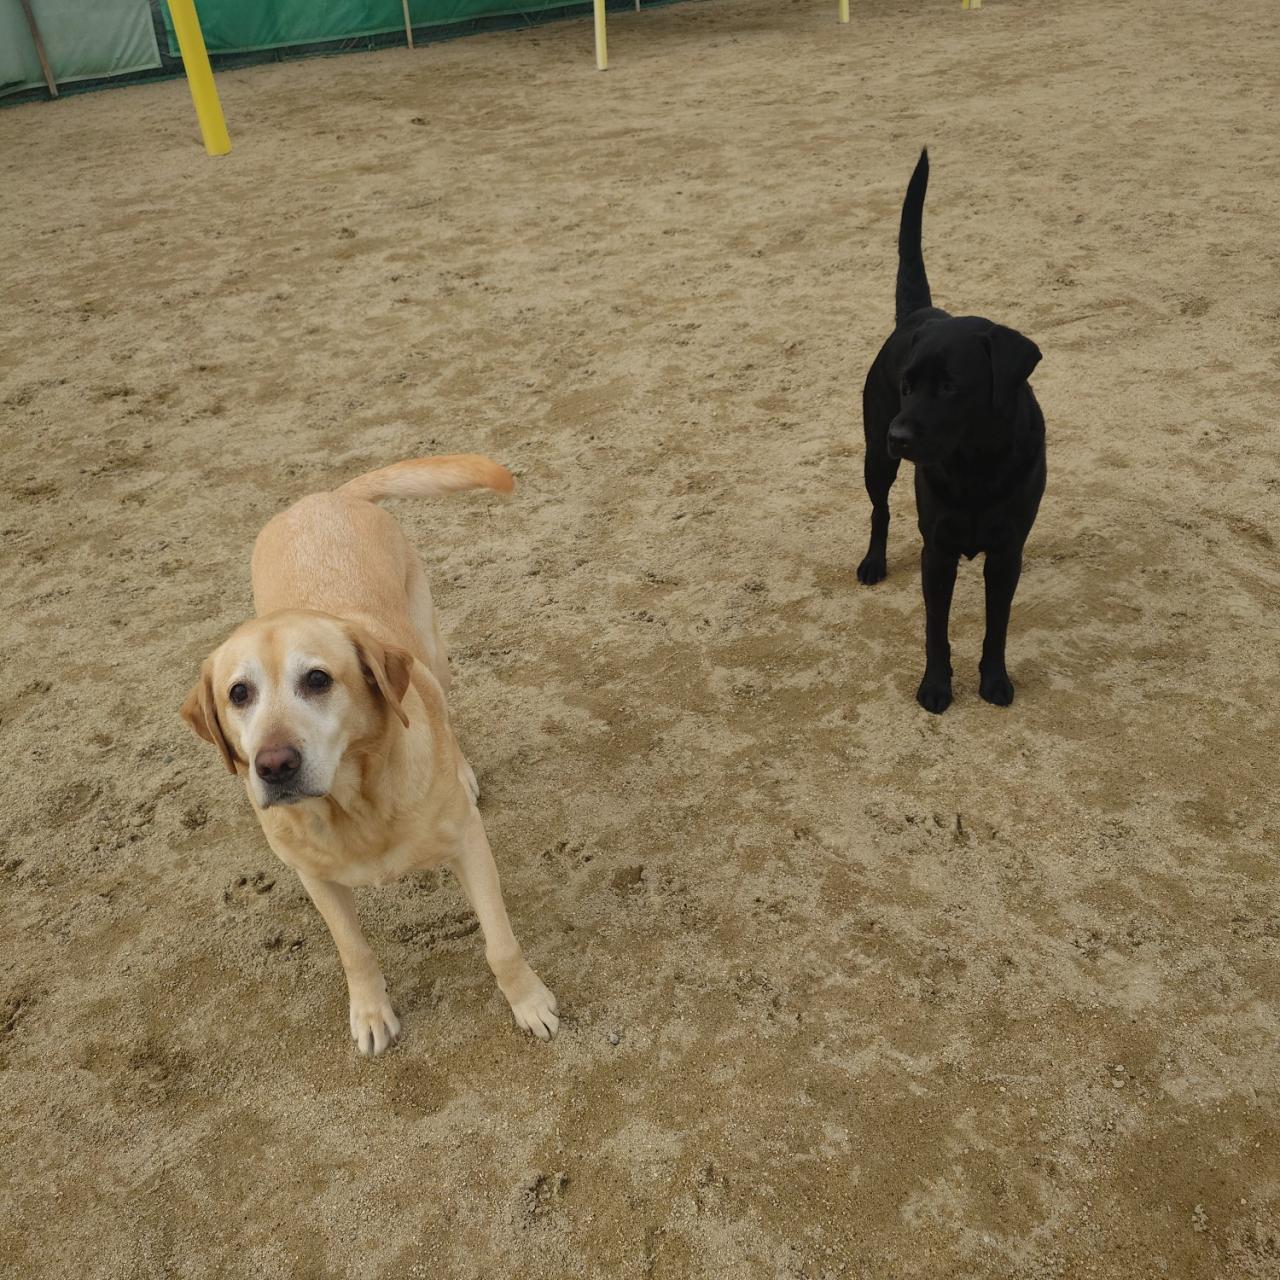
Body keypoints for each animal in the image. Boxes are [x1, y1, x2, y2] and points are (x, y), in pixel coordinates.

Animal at [180, 456, 558, 1054]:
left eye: (317, 679)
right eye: (238, 693)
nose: (274, 765)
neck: (356, 808)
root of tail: (325, 498)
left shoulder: (470, 846)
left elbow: (500, 943)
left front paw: (530, 1002)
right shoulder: (315, 879)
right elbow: (354, 952)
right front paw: (371, 1012)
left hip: (432, 653)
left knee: (443, 706)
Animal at [856, 149, 1046, 714]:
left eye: (949, 386)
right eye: (907, 384)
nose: (899, 434)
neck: (976, 466)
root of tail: (920, 311)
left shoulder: (1005, 555)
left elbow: (997, 626)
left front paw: (995, 681)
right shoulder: (936, 553)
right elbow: (935, 631)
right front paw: (936, 687)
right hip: (875, 459)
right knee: (879, 509)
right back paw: (873, 562)